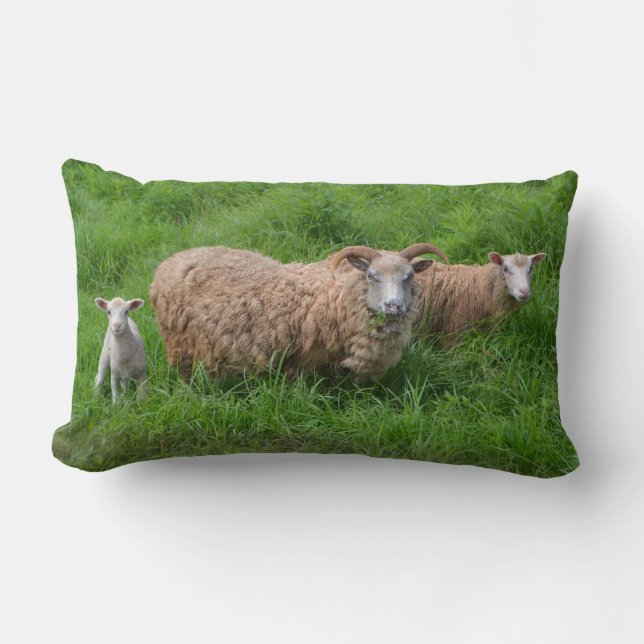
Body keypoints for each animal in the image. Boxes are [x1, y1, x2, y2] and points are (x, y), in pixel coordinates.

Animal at [149, 243, 445, 381]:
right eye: (371, 276)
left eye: (409, 276)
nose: (393, 306)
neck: (337, 297)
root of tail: (174, 259)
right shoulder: (305, 362)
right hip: (181, 346)